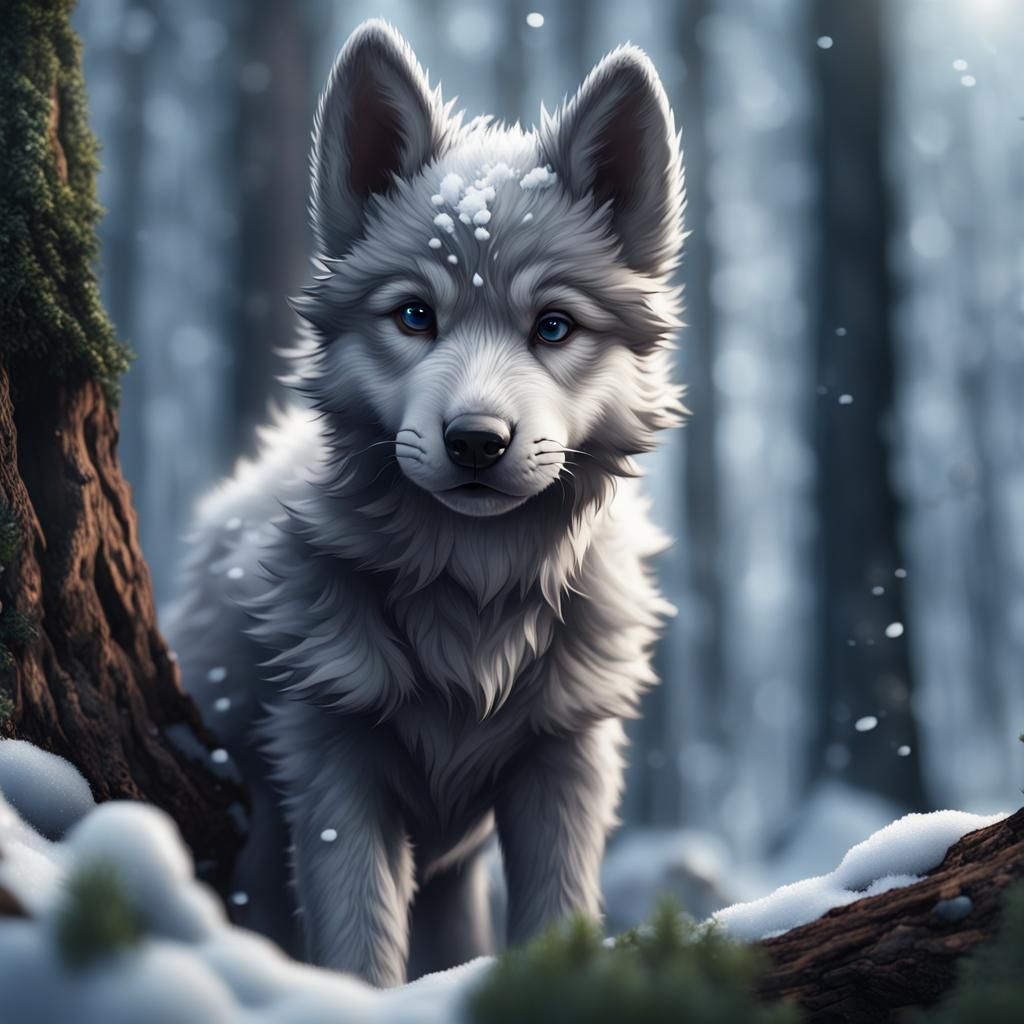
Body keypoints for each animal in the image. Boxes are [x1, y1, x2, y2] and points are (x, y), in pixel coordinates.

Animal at [164, 20, 685, 987]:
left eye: (553, 327)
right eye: (414, 316)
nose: (477, 440)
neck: (473, 598)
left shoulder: (566, 762)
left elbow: (557, 916)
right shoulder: (330, 761)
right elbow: (356, 942)